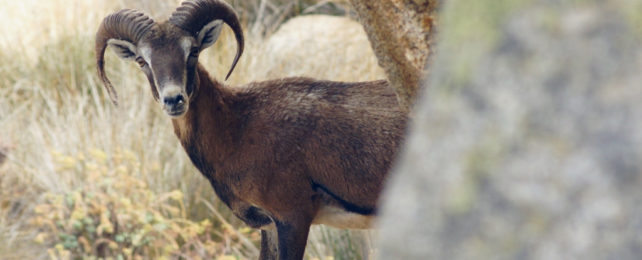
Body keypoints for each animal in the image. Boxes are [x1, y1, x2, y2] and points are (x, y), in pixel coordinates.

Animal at [95, 1, 404, 258]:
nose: (174, 99)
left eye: (192, 51)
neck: (238, 129)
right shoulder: (269, 227)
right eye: (142, 60)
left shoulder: (292, 218)